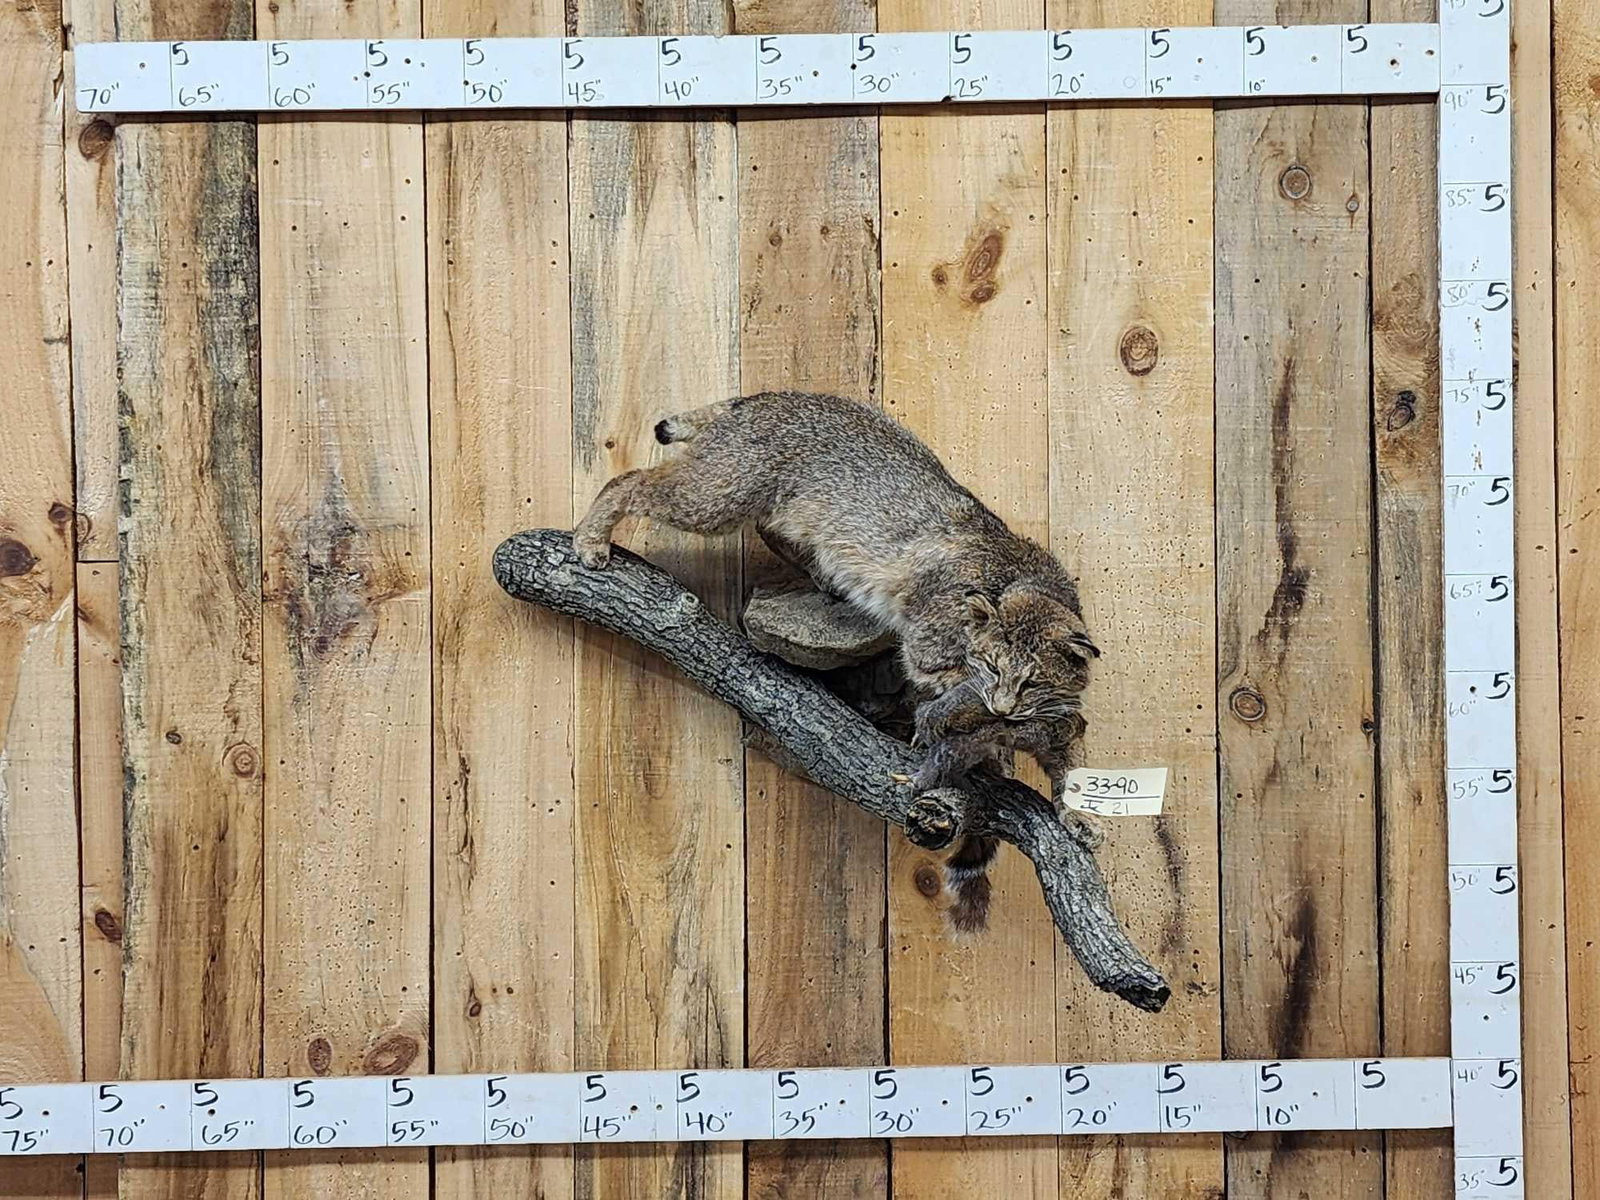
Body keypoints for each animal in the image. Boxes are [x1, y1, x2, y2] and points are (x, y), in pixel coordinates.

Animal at [574, 391, 1101, 931]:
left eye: (1033, 680)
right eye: (995, 668)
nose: (1008, 709)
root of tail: (762, 396)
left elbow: (1066, 754)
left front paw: (1074, 809)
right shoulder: (926, 649)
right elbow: (962, 693)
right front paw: (980, 735)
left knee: (767, 528)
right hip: (717, 496)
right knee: (631, 481)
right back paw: (590, 541)